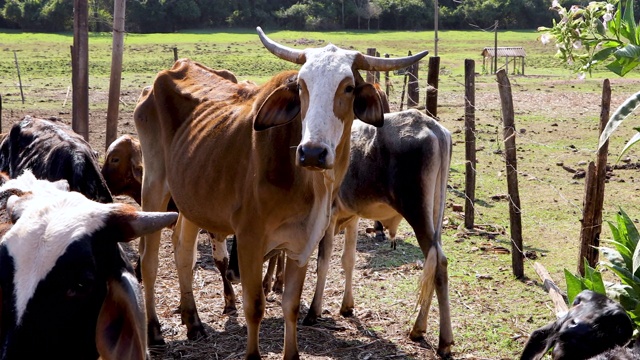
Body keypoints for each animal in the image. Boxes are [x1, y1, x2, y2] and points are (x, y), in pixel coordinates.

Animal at [134, 26, 424, 360]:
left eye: (349, 87)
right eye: (301, 86)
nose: (312, 152)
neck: (306, 183)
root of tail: (171, 70)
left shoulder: (303, 242)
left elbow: (291, 307)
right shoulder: (249, 240)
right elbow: (254, 306)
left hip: (192, 200)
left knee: (183, 250)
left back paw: (193, 322)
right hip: (154, 184)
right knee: (149, 261)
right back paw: (154, 329)